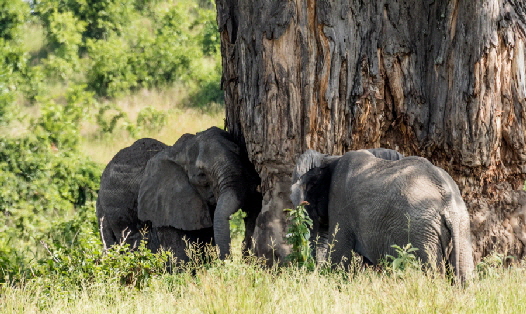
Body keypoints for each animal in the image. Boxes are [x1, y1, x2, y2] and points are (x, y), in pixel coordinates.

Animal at [290, 148, 476, 280]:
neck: (330, 159)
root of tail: (447, 202)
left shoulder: (340, 202)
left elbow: (339, 255)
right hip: (461, 228)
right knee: (465, 274)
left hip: (421, 233)